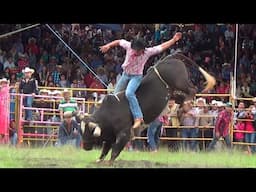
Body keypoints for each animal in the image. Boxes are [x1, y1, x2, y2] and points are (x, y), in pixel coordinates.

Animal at [74, 52, 216, 164]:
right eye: (81, 131)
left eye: (90, 132)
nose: (85, 146)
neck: (109, 113)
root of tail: (169, 58)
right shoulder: (109, 136)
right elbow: (105, 149)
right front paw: (99, 160)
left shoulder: (124, 133)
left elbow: (115, 150)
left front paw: (109, 162)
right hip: (173, 91)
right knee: (180, 97)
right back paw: (181, 104)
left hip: (180, 82)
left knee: (193, 89)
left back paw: (188, 100)